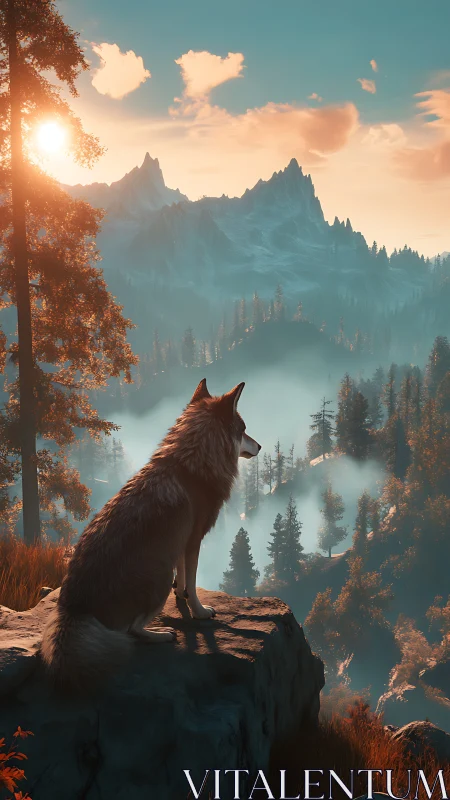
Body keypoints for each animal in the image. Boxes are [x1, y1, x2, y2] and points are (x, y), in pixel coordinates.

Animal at [40, 379, 260, 691]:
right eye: (243, 430)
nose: (260, 446)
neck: (192, 467)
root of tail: (74, 609)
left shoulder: (178, 543)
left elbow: (184, 579)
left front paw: (180, 595)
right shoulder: (193, 541)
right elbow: (193, 584)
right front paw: (200, 611)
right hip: (159, 576)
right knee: (131, 632)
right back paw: (162, 633)